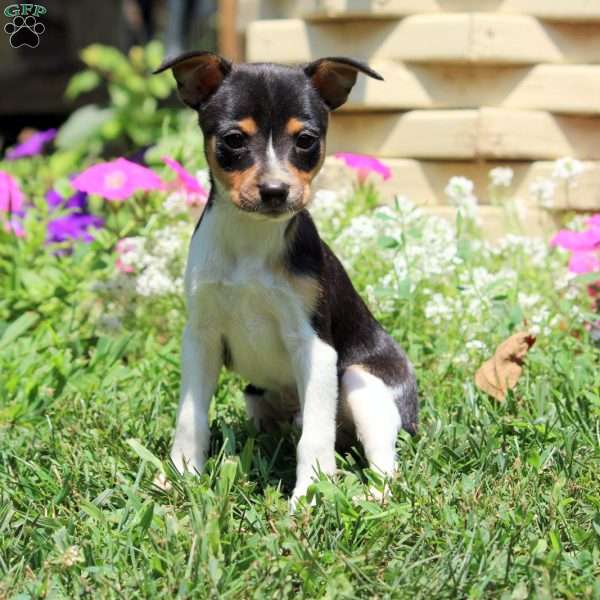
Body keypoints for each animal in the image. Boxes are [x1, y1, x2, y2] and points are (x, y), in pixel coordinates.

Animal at [155, 51, 418, 506]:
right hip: (256, 396)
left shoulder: (314, 346)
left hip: (363, 383)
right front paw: (181, 474)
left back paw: (370, 496)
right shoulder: (201, 337)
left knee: (385, 462)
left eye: (306, 140)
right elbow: (190, 418)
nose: (275, 191)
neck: (251, 242)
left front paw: (310, 493)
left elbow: (314, 435)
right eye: (234, 140)